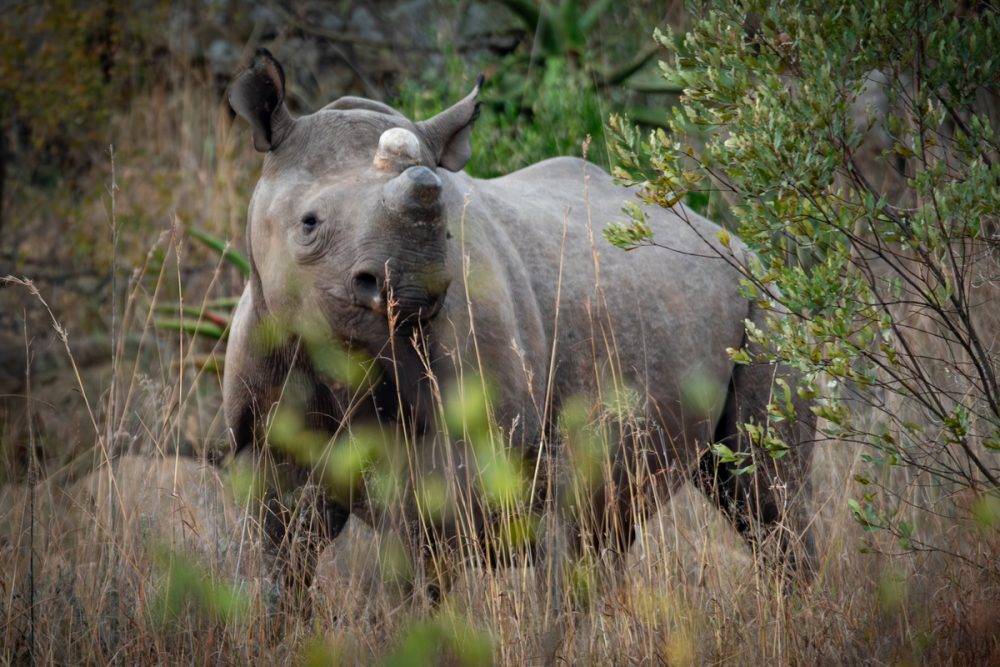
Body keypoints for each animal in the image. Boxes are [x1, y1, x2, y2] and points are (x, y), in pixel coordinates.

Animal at [223, 49, 816, 597]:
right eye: (309, 224)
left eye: (446, 231)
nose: (405, 285)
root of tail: (734, 242)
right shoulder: (259, 434)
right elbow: (277, 562)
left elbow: (414, 564)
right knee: (605, 524)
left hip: (765, 306)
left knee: (764, 493)